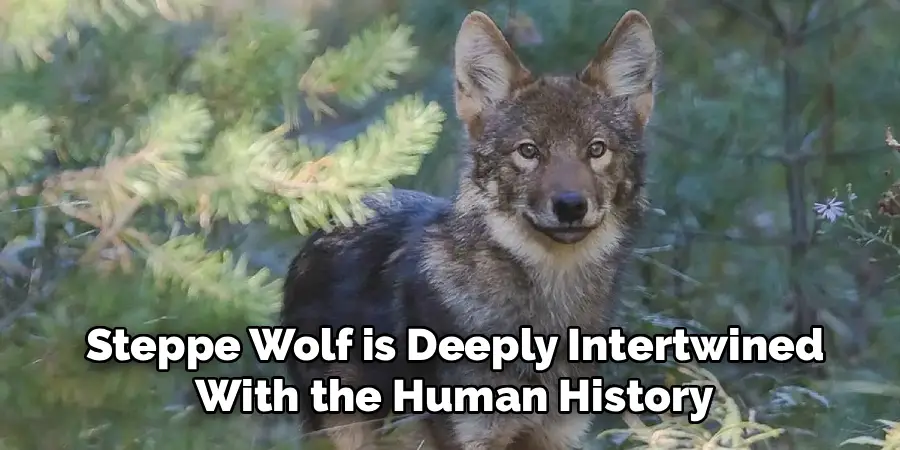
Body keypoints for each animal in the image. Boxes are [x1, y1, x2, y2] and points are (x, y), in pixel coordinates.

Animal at [281, 8, 659, 450]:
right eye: (529, 151)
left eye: (596, 149)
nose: (570, 206)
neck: (549, 311)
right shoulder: (468, 437)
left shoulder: (557, 436)